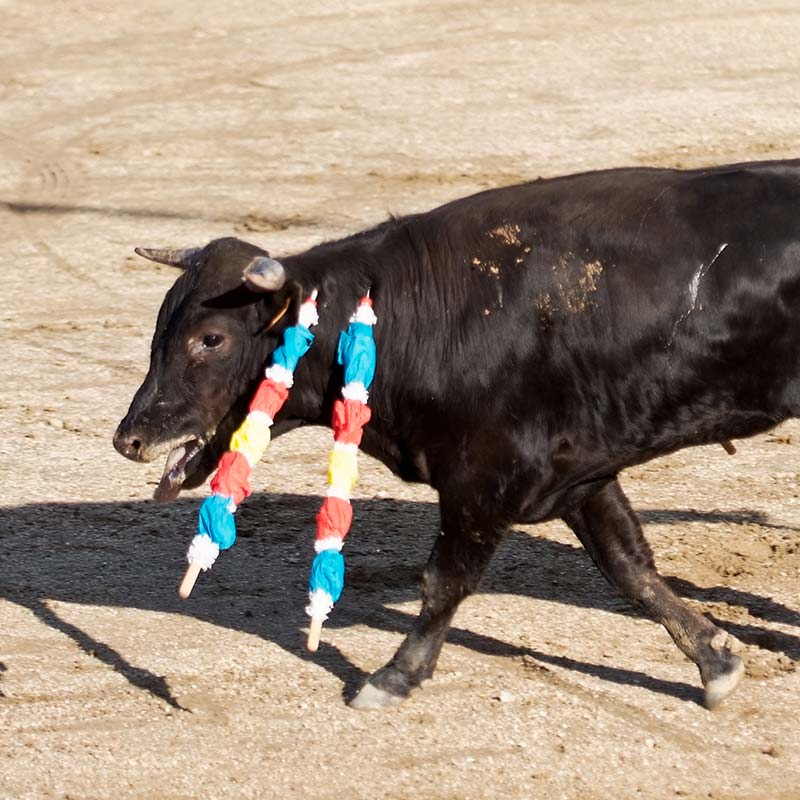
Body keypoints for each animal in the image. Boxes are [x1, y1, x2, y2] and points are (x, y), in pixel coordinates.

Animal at [114, 159, 800, 708]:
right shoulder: (579, 472)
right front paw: (716, 661)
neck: (408, 316)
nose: (129, 439)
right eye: (161, 325)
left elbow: (444, 581)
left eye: (212, 339)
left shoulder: (484, 477)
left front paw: (391, 678)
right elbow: (630, 568)